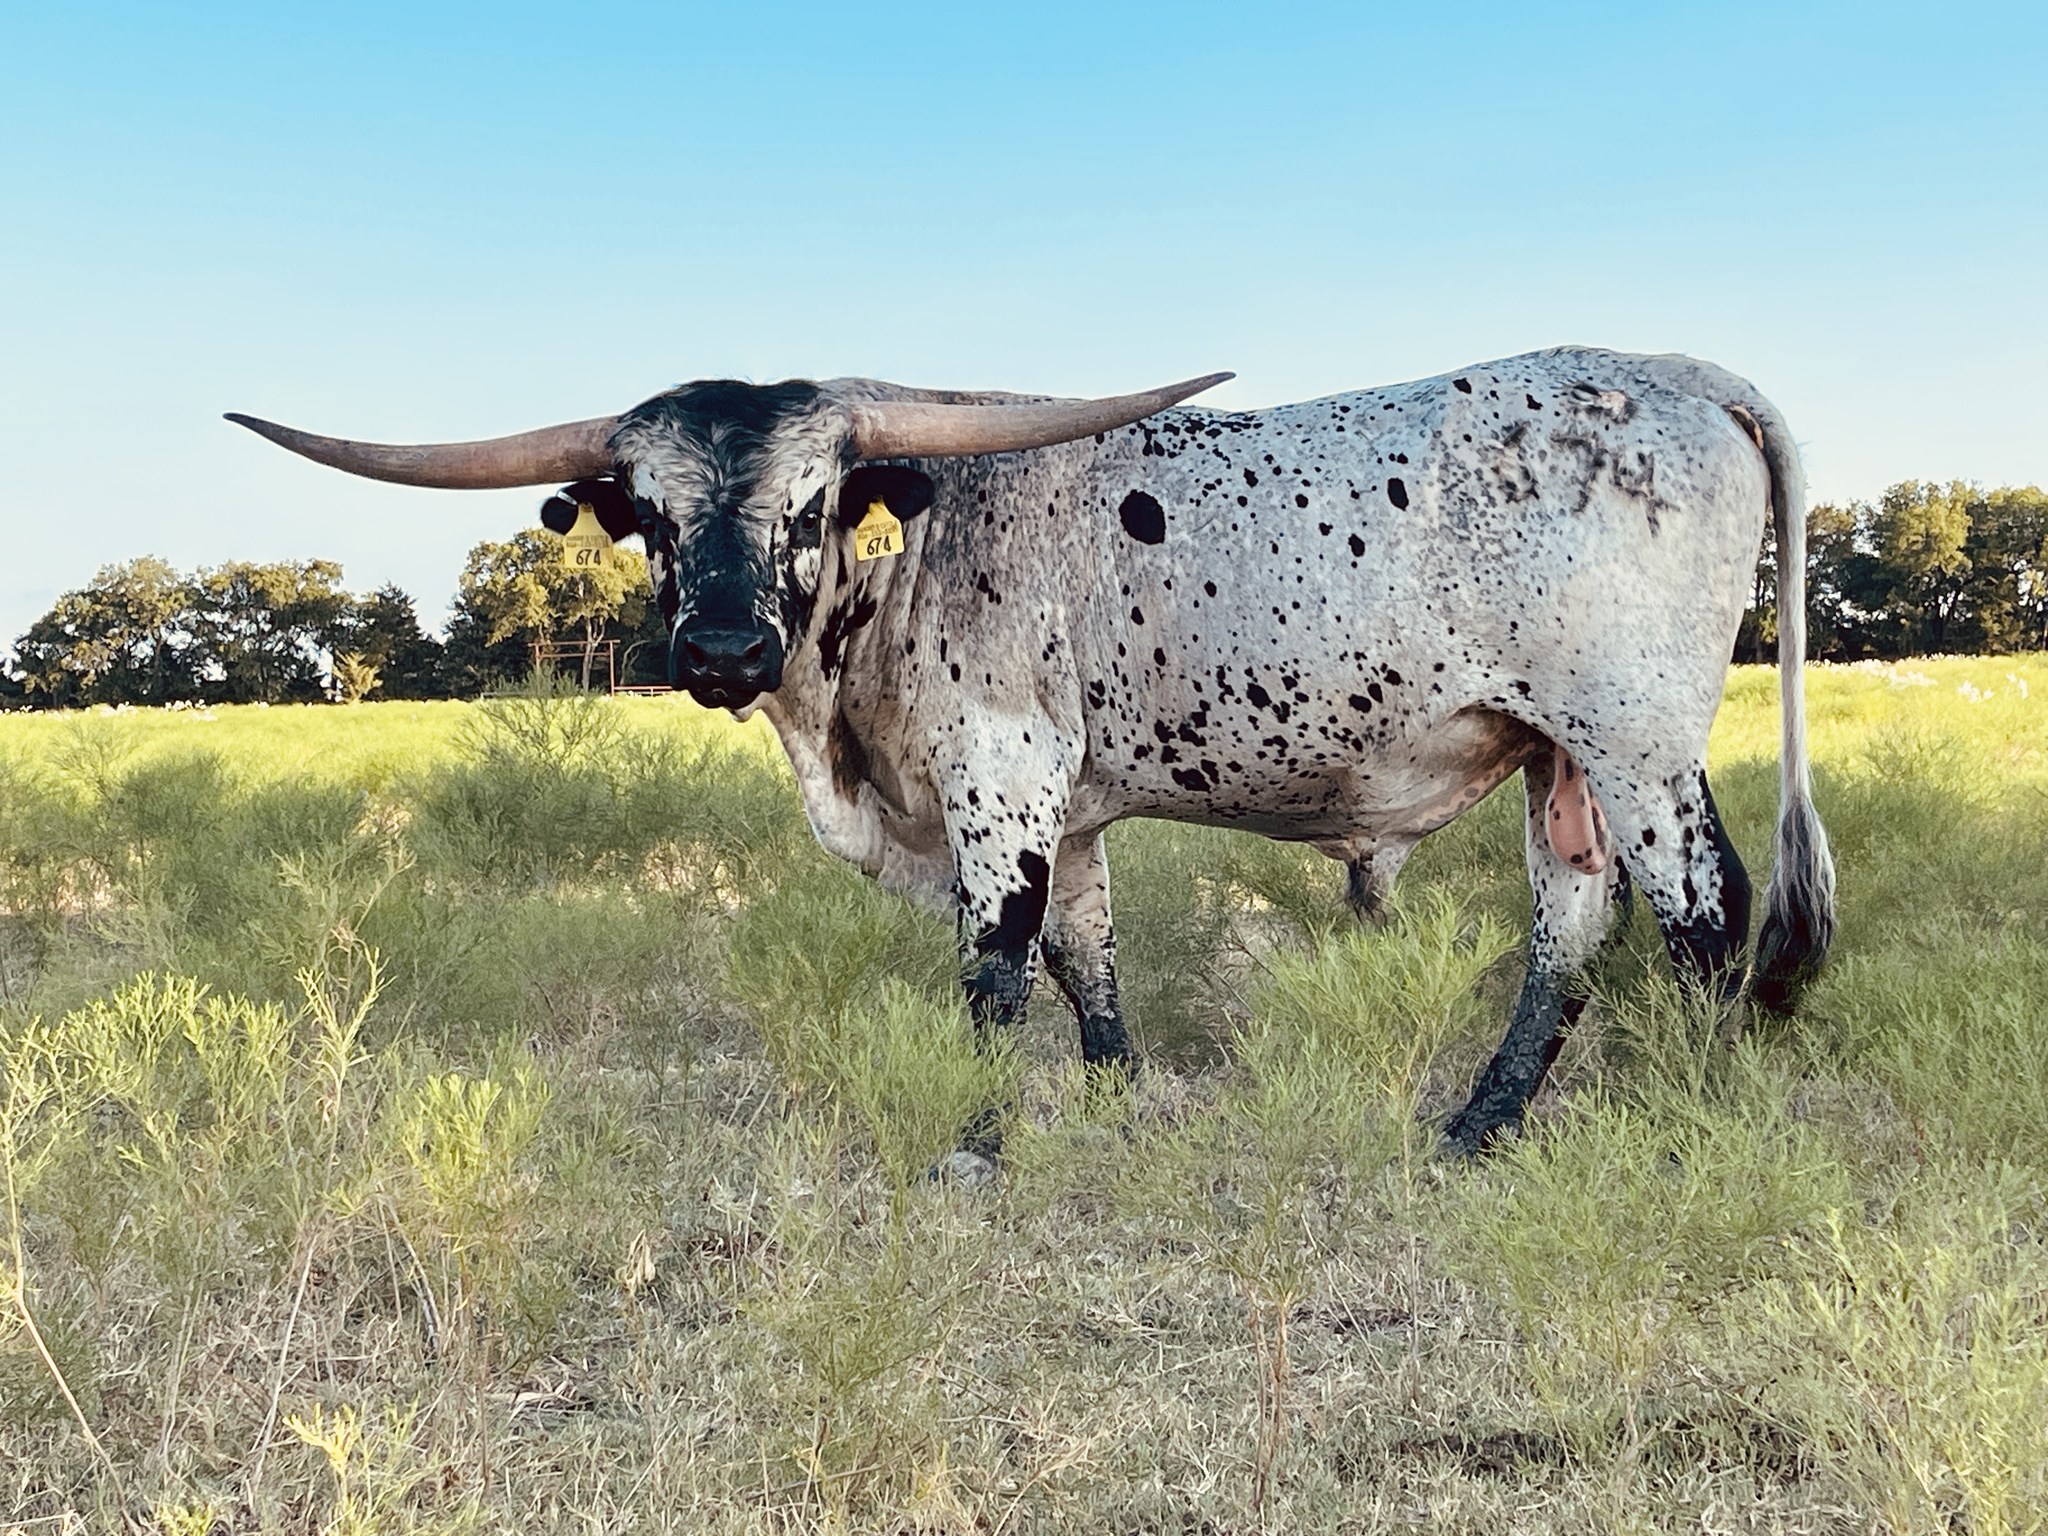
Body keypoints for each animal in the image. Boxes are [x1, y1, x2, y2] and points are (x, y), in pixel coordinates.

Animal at [230, 346, 1836, 1173]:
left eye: (814, 500)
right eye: (653, 513)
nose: (726, 648)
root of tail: (1676, 370)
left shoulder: (998, 780)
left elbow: (994, 964)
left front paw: (978, 1141)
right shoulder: (1068, 810)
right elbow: (1087, 953)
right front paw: (1120, 1098)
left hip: (1633, 736)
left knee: (1702, 912)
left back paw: (1692, 1111)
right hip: (1557, 759)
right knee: (1574, 923)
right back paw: (1475, 1126)